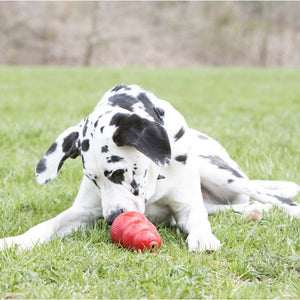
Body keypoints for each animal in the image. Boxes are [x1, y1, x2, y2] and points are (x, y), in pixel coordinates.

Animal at [0, 84, 300, 251]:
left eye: (118, 172)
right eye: (93, 179)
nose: (112, 219)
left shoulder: (187, 206)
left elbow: (198, 218)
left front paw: (203, 237)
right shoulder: (83, 211)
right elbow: (47, 225)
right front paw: (15, 241)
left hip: (220, 172)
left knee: (278, 198)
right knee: (231, 207)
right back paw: (253, 211)